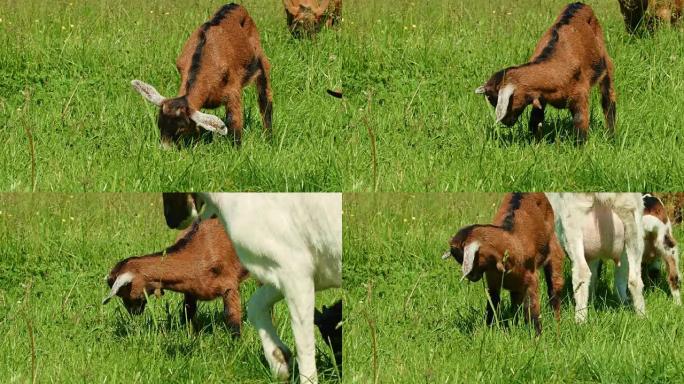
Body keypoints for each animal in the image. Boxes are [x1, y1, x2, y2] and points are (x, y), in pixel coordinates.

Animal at [103, 219, 247, 336]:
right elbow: (187, 314)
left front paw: (235, 343)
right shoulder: (190, 291)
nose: (133, 312)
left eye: (123, 292)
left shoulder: (230, 286)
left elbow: (232, 317)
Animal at [131, 4, 272, 148]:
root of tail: (235, 5)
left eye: (181, 129)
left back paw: (269, 139)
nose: (165, 149)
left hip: (261, 60)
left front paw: (236, 149)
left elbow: (234, 122)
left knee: (265, 99)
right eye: (159, 124)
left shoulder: (233, 90)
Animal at [440, 194, 564, 334]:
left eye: (462, 257)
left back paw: (556, 324)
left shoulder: (531, 279)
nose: (471, 277)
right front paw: (488, 330)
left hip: (554, 254)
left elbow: (532, 307)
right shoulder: (493, 281)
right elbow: (492, 305)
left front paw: (537, 335)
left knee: (554, 291)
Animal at [476, 2, 616, 144]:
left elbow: (580, 122)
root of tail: (579, 3)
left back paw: (611, 136)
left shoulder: (580, 94)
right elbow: (535, 120)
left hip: (605, 63)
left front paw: (580, 147)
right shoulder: (539, 96)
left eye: (495, 99)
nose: (506, 122)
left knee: (608, 99)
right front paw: (535, 144)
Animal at [544, 194, 648, 322]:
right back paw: (640, 315)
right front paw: (591, 302)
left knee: (581, 272)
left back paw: (580, 319)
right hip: (635, 234)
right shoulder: (593, 255)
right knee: (632, 278)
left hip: (572, 226)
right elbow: (593, 276)